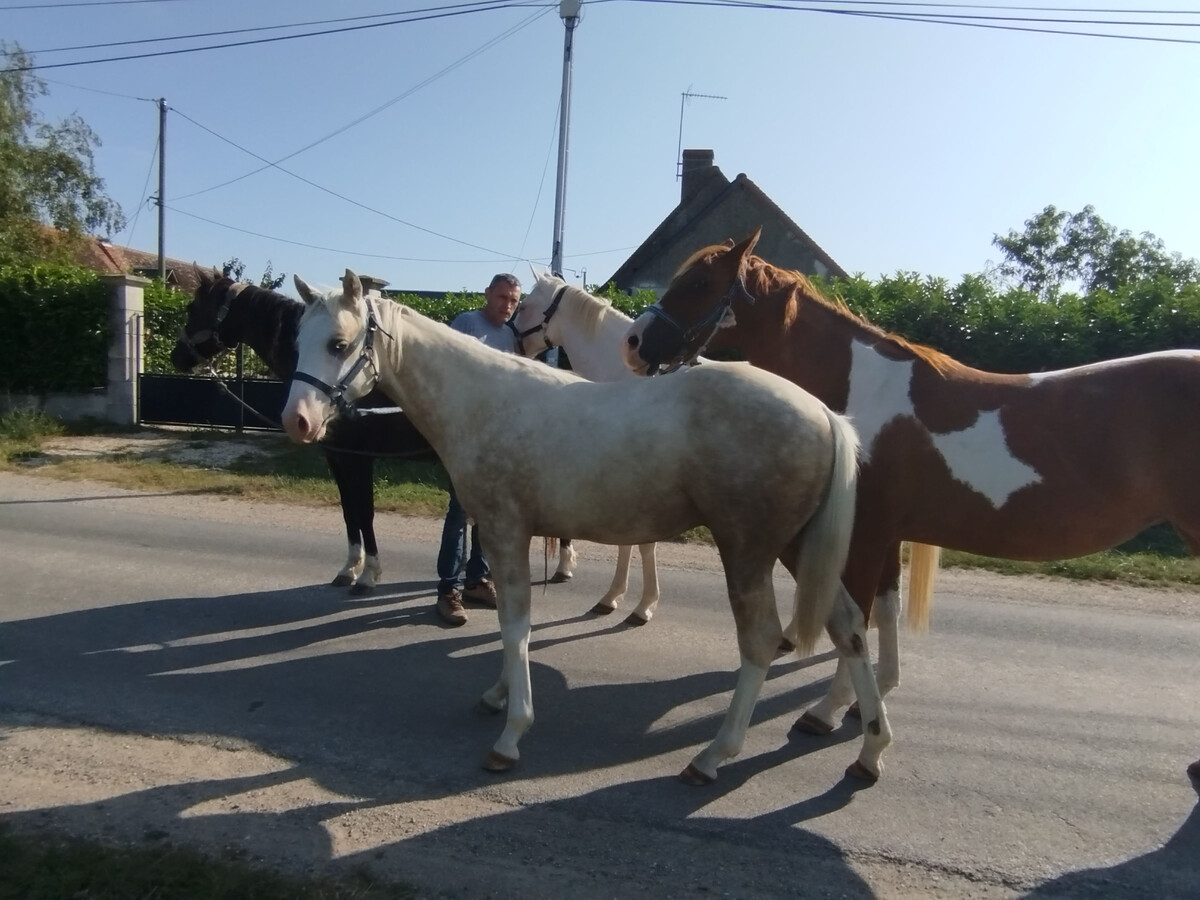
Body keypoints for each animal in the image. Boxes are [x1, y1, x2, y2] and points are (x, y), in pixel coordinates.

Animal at [171, 269, 577, 592]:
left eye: (193, 309)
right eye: (298, 341)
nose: (178, 356)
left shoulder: (359, 458)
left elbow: (364, 512)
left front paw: (369, 575)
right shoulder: (338, 457)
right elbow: (349, 513)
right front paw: (349, 569)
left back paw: (563, 565)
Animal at [623, 227, 1200, 770]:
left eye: (699, 282)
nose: (633, 341)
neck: (861, 396)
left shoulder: (865, 533)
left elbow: (853, 621)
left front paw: (829, 712)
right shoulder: (887, 533)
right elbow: (884, 608)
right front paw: (868, 701)